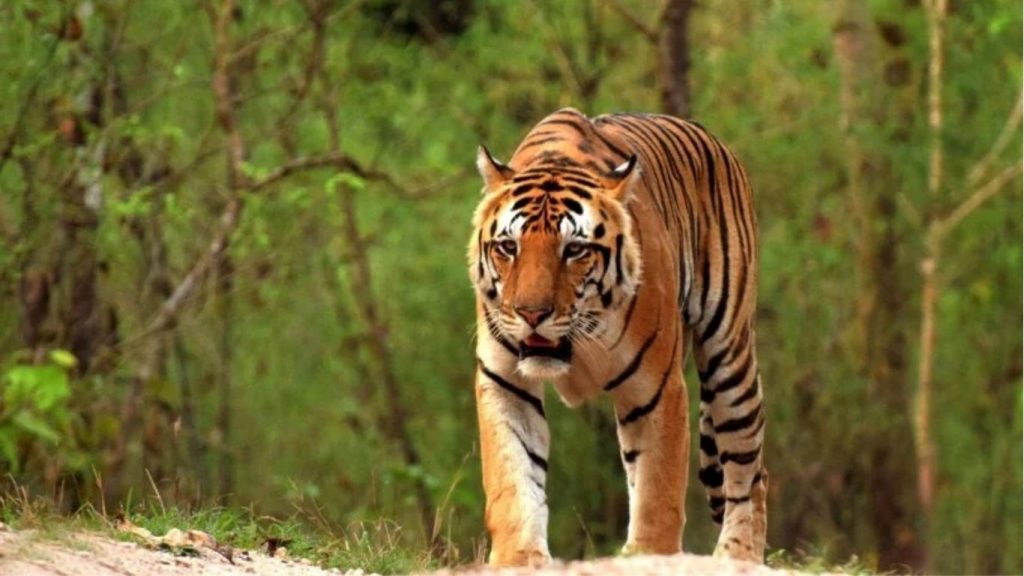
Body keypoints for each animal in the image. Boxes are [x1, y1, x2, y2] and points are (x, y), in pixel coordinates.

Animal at [468, 108, 766, 567]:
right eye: (508, 247)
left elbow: (658, 489)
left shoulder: (657, 389)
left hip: (729, 358)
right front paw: (518, 557)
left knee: (749, 470)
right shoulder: (505, 381)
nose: (531, 313)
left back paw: (737, 556)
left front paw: (650, 556)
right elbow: (512, 477)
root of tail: (716, 142)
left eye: (574, 250)